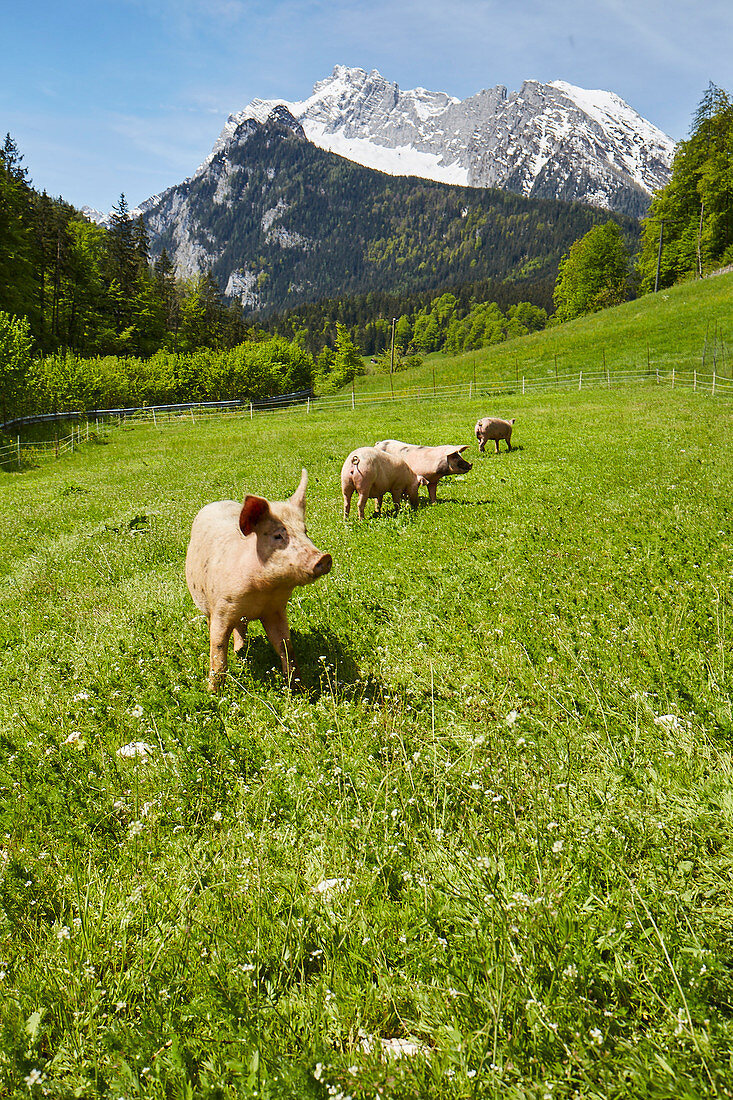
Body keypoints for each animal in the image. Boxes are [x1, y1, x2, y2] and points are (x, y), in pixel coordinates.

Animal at [183, 468, 330, 690]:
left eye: (305, 532)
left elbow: (285, 647)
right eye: (278, 536)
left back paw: (240, 652)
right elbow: (218, 653)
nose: (324, 557)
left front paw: (298, 687)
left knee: (241, 628)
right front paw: (213, 693)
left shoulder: (275, 610)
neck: (264, 590)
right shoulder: (221, 609)